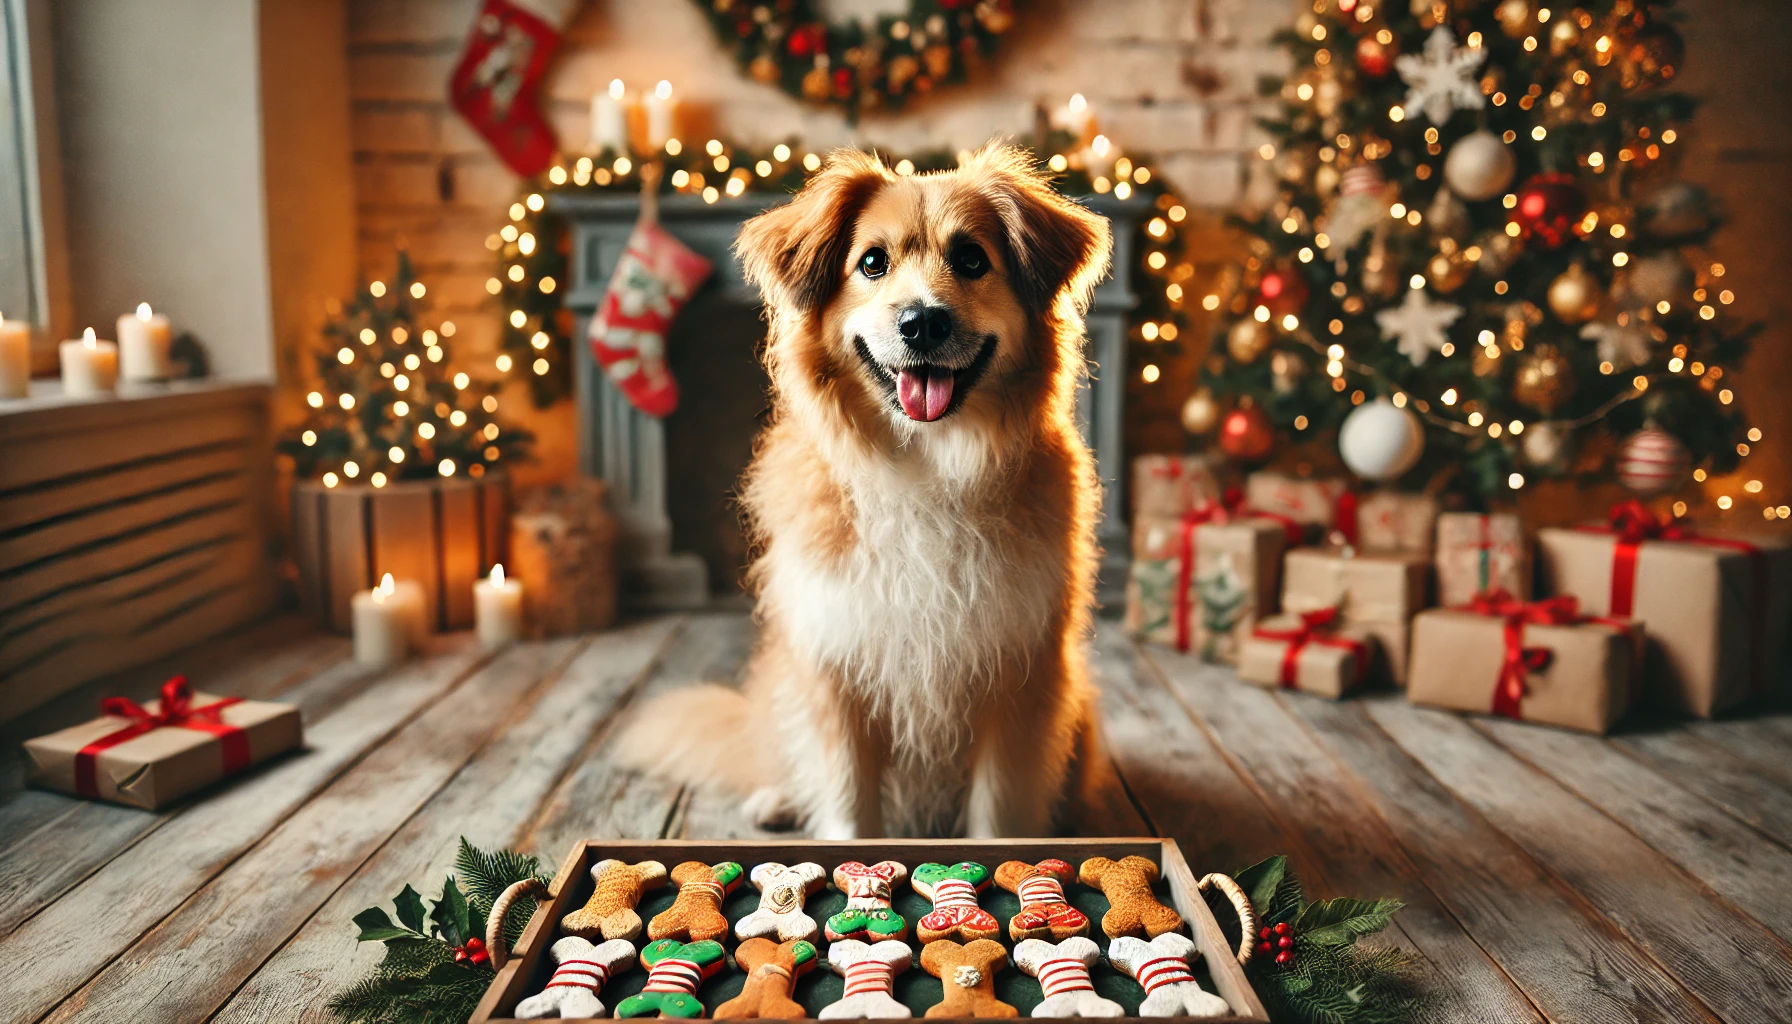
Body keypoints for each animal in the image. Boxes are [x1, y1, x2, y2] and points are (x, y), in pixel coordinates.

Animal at [623, 142, 1111, 832]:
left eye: (972, 259)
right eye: (872, 262)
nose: (922, 323)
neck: (927, 468)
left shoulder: (1018, 680)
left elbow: (998, 812)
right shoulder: (836, 673)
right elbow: (848, 803)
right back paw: (776, 799)